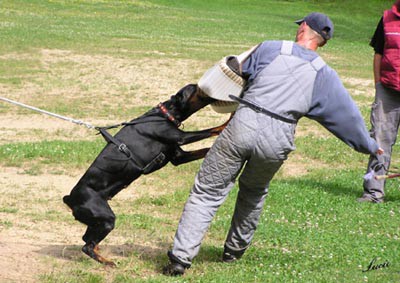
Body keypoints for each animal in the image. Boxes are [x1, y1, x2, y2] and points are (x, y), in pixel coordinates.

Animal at [63, 84, 230, 266]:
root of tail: (70, 199)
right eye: (196, 88)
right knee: (87, 246)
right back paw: (107, 261)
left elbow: (205, 149)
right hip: (106, 218)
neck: (165, 114)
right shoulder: (182, 137)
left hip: (97, 221)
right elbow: (211, 130)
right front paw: (227, 122)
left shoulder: (178, 157)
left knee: (87, 239)